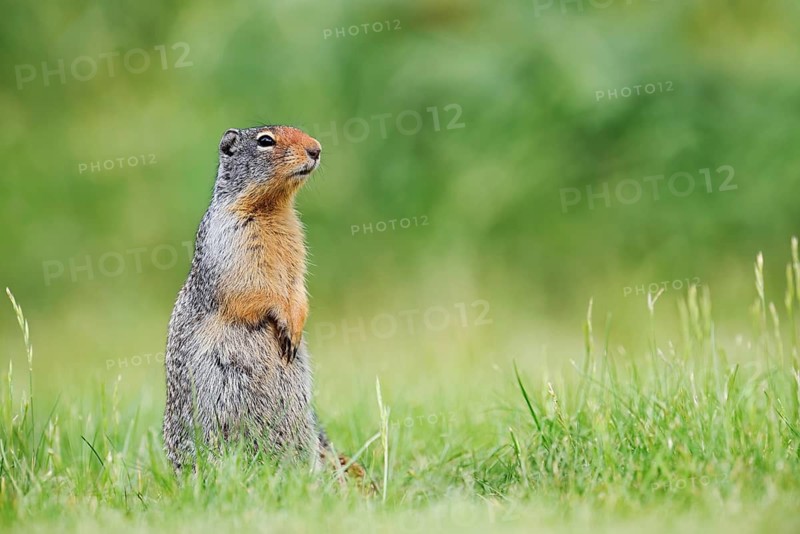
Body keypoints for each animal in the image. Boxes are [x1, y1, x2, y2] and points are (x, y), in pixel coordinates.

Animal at [162, 125, 352, 476]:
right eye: (265, 141)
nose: (316, 149)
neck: (273, 208)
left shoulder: (297, 247)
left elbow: (298, 287)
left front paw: (296, 324)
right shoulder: (232, 240)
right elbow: (252, 288)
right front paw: (283, 320)